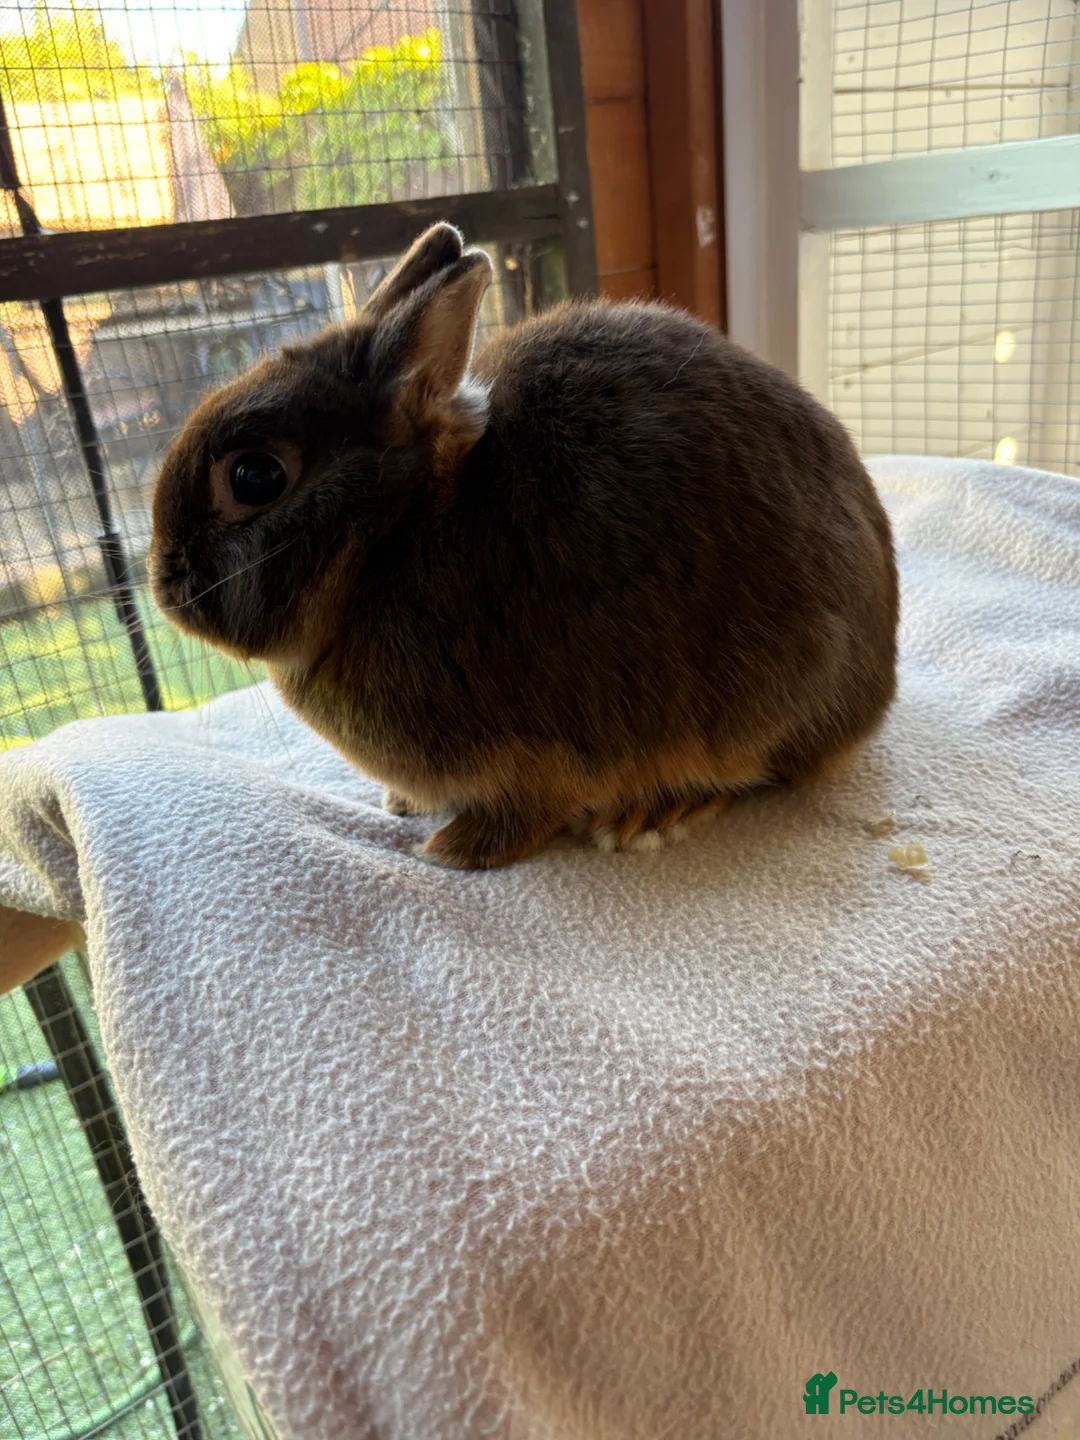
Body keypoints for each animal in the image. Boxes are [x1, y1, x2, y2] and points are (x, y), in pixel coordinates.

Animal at [149, 222, 899, 870]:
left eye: (254, 477)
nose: (164, 586)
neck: (393, 537)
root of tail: (877, 683)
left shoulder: (533, 756)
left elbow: (524, 810)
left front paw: (452, 849)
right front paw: (401, 804)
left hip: (755, 703)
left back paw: (651, 815)